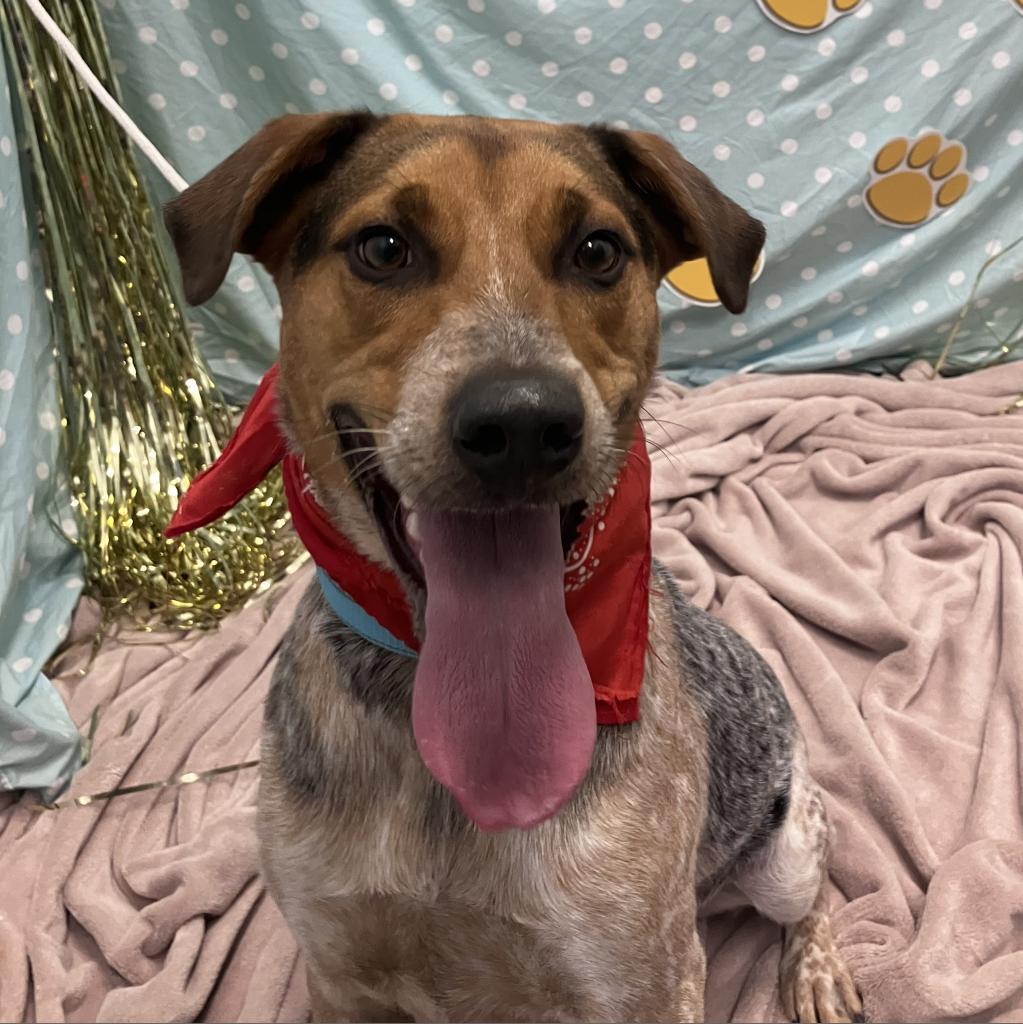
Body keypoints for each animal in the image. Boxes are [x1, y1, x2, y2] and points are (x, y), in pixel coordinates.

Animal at [165, 114, 864, 1024]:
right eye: (382, 248)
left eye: (597, 251)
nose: (523, 424)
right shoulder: (340, 970)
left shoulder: (644, 980)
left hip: (781, 850)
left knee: (813, 888)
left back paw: (815, 970)